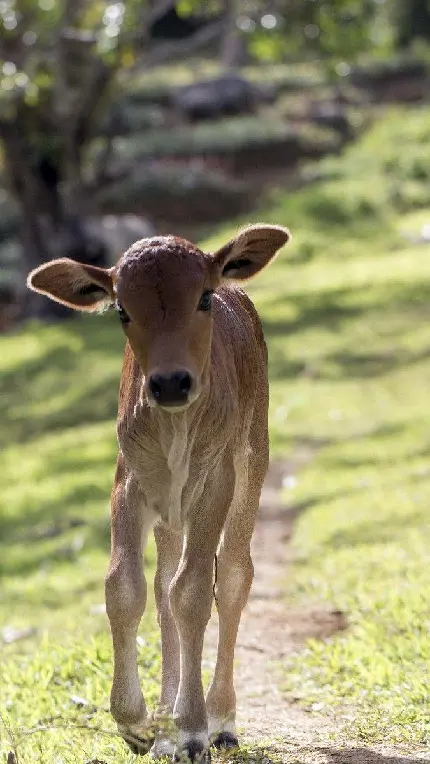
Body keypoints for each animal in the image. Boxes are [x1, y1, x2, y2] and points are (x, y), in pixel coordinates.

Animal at [27, 224, 292, 760]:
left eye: (203, 297)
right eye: (122, 310)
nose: (170, 383)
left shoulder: (215, 483)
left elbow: (194, 592)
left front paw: (191, 729)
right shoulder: (128, 482)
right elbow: (125, 588)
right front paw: (139, 724)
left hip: (252, 462)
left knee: (234, 575)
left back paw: (220, 720)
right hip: (170, 512)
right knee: (163, 583)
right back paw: (167, 721)